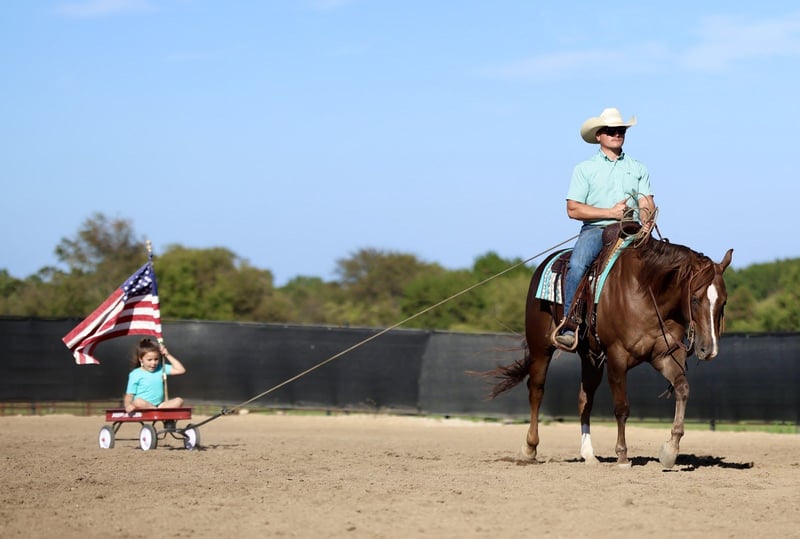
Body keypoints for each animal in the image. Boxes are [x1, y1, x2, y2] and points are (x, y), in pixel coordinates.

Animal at [482, 235, 733, 468]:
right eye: (695, 299)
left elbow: (682, 389)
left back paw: (589, 455)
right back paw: (529, 448)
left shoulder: (664, 356)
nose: (708, 349)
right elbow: (622, 407)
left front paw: (670, 450)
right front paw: (622, 455)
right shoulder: (617, 357)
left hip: (591, 359)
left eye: (723, 301)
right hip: (540, 348)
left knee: (584, 399)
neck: (646, 293)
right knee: (536, 391)